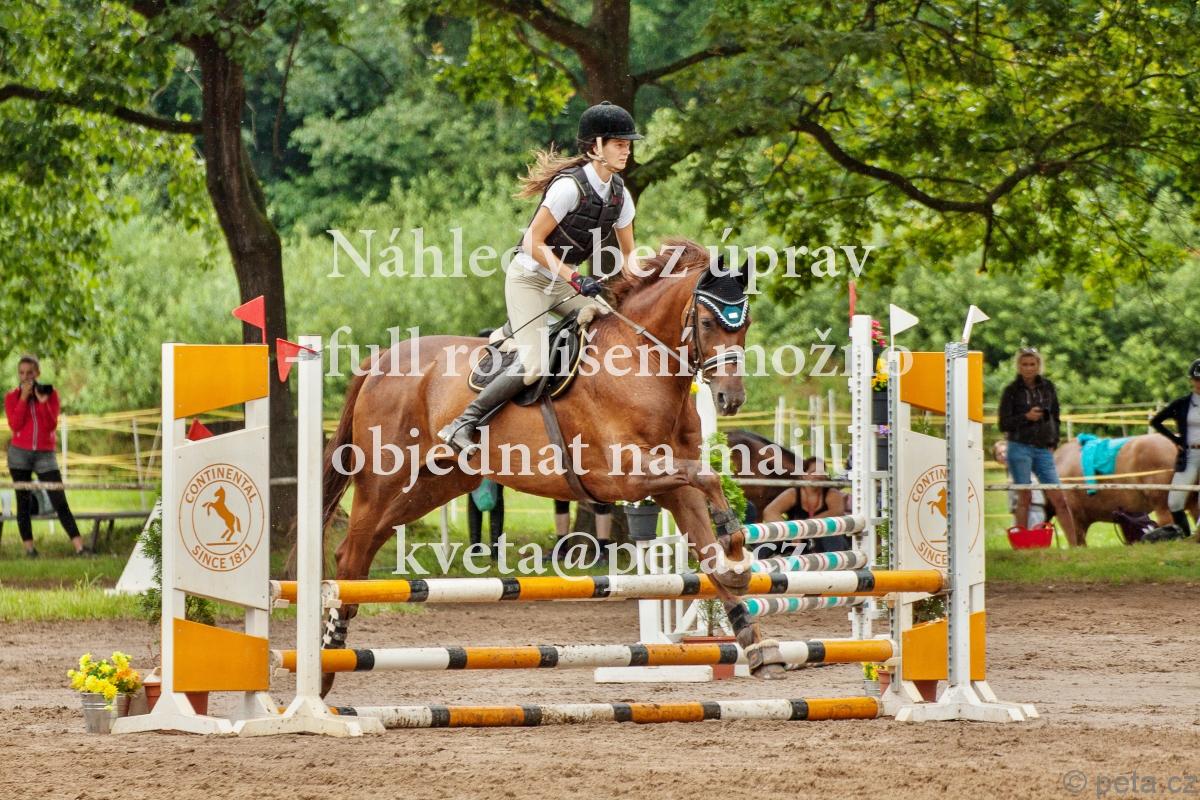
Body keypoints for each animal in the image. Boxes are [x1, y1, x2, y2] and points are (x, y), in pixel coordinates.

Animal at [317, 240, 785, 696]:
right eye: (706, 323)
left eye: (744, 323)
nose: (730, 398)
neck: (642, 362)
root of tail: (379, 362)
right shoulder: (623, 475)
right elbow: (707, 477)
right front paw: (734, 540)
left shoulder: (672, 486)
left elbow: (708, 548)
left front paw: (753, 634)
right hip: (383, 481)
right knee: (351, 554)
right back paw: (327, 661)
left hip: (432, 486)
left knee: (359, 552)